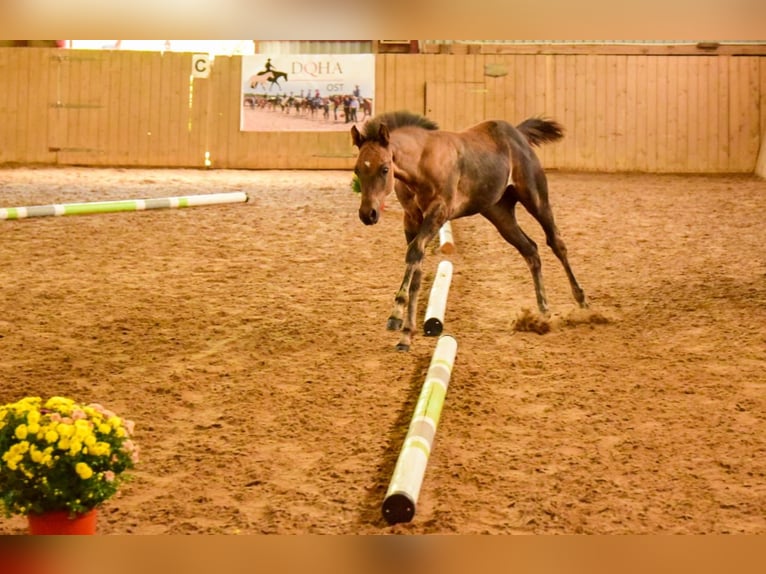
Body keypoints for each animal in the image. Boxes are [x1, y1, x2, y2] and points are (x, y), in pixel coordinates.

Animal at [351, 110, 588, 351]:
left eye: (385, 168)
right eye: (357, 169)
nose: (368, 214)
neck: (422, 162)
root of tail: (518, 134)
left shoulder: (439, 213)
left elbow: (414, 255)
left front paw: (397, 318)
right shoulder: (411, 218)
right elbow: (415, 265)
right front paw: (405, 333)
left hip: (536, 199)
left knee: (556, 242)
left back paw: (582, 302)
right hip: (499, 213)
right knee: (530, 249)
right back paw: (543, 311)